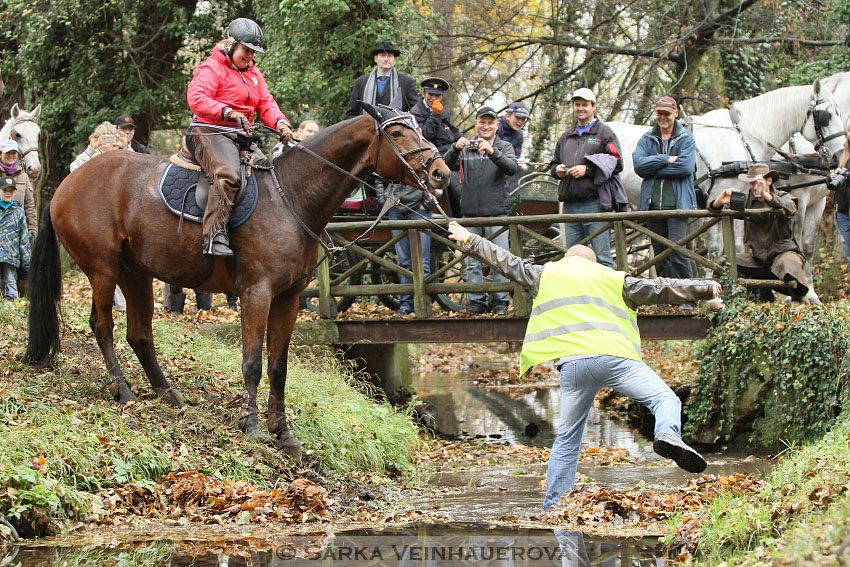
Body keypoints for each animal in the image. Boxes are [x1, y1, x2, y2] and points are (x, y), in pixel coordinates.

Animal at [23, 104, 448, 460]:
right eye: (397, 133)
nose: (440, 172)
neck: (291, 196)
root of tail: (66, 184)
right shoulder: (255, 293)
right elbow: (253, 363)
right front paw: (253, 427)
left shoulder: (288, 298)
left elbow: (278, 366)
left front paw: (284, 433)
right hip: (103, 270)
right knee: (103, 326)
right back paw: (124, 390)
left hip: (136, 273)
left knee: (139, 334)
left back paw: (170, 395)